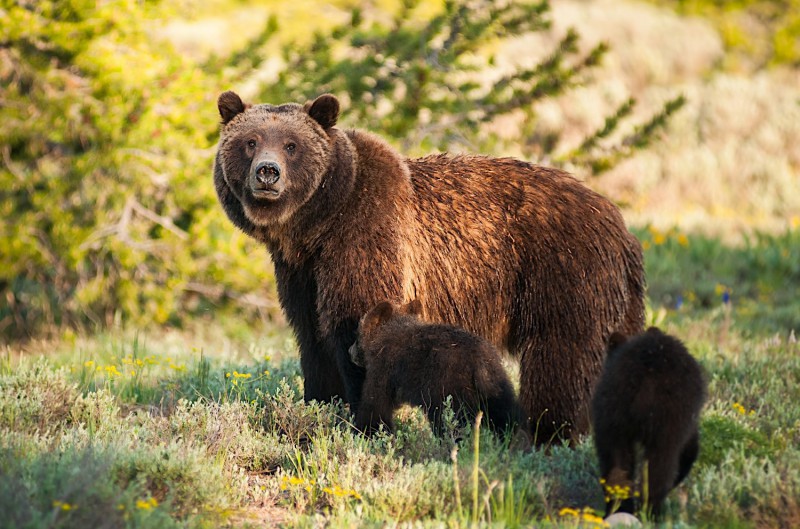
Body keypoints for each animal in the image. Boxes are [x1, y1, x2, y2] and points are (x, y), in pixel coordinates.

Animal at [350, 300, 524, 436]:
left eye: (357, 333)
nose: (350, 351)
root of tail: (481, 363)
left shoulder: (384, 367)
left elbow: (376, 404)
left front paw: (366, 431)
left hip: (450, 388)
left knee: (451, 420)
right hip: (497, 385)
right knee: (503, 415)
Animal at [588, 326, 708, 516]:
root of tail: (643, 376)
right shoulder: (687, 419)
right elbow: (690, 449)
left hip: (611, 412)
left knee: (615, 461)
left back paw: (619, 507)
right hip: (668, 417)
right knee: (660, 464)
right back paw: (651, 510)